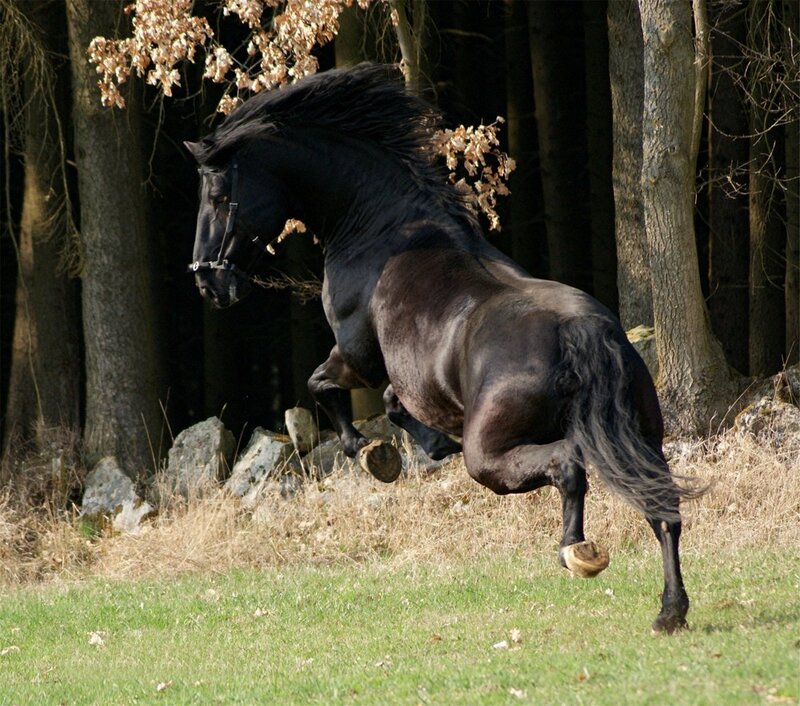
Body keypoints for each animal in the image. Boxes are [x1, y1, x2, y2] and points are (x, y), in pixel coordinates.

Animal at [185, 63, 700, 633]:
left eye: (217, 197)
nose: (209, 283)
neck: (380, 226)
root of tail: (585, 333)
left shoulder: (358, 357)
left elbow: (323, 385)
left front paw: (371, 453)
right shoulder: (404, 373)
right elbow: (394, 405)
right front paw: (428, 446)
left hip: (493, 455)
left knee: (569, 465)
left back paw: (577, 552)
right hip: (642, 439)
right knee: (663, 512)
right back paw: (669, 612)